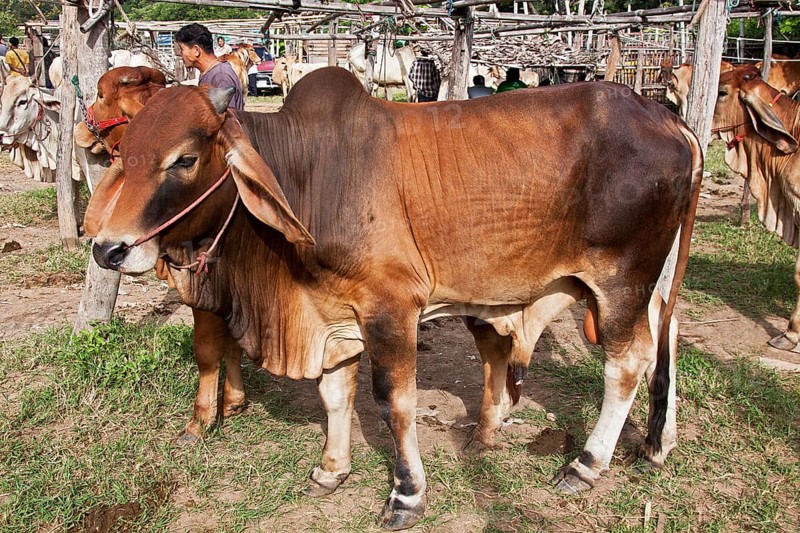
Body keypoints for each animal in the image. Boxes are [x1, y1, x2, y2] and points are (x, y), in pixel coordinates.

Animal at [86, 68, 702, 529]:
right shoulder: (335, 312)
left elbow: (393, 401)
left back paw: (586, 465)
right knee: (665, 336)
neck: (310, 177)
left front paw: (407, 495)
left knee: (626, 364)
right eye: (124, 152)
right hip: (648, 280)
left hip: (620, 279)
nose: (109, 249)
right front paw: (332, 469)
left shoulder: (391, 308)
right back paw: (658, 442)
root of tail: (668, 118)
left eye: (185, 159)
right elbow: (335, 394)